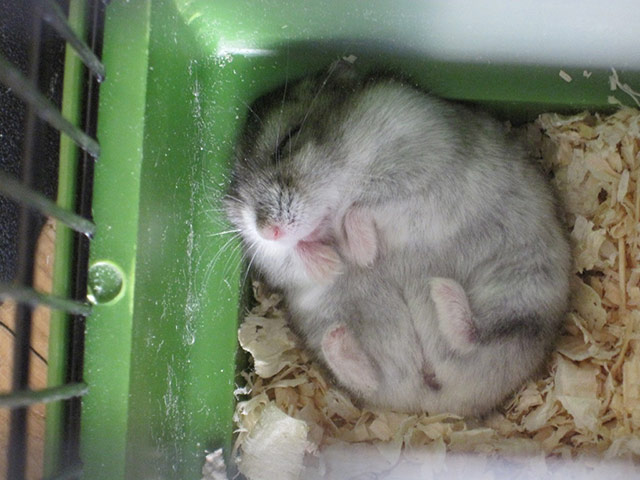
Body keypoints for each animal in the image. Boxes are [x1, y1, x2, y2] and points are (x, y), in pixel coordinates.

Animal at [224, 61, 571, 416]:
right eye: (237, 195)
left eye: (289, 138)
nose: (269, 231)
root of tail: (435, 402)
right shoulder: (275, 261)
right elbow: (292, 260)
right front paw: (332, 263)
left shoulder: (421, 174)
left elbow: (367, 208)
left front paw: (357, 253)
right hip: (339, 323)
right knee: (371, 378)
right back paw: (340, 339)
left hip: (521, 288)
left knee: (475, 338)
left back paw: (440, 290)